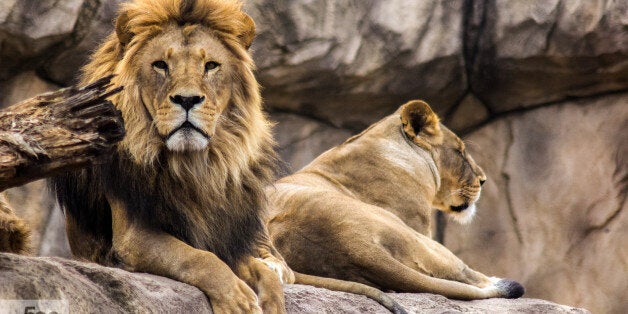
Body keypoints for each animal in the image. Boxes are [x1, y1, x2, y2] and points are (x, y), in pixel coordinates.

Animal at [50, 1, 290, 312]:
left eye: (210, 66)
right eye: (161, 65)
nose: (187, 100)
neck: (196, 167)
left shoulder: (223, 238)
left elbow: (263, 274)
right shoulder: (134, 236)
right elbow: (198, 257)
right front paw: (238, 300)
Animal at [268, 100, 528, 300]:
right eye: (460, 152)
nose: (483, 180)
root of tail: (357, 247)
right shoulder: (420, 226)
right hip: (418, 239)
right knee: (465, 274)